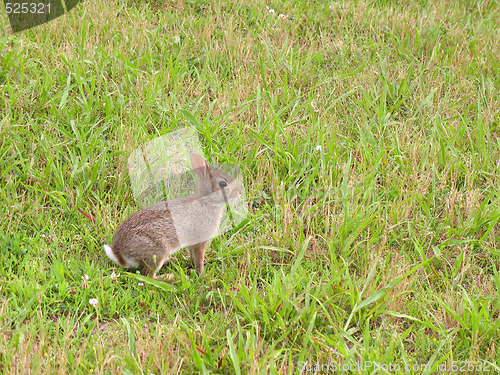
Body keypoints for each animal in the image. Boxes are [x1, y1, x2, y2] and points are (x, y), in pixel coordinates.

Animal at [105, 150, 244, 280]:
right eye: (223, 184)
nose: (240, 192)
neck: (207, 201)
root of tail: (120, 254)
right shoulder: (200, 241)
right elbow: (198, 260)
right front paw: (203, 276)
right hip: (158, 250)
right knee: (148, 275)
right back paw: (170, 277)